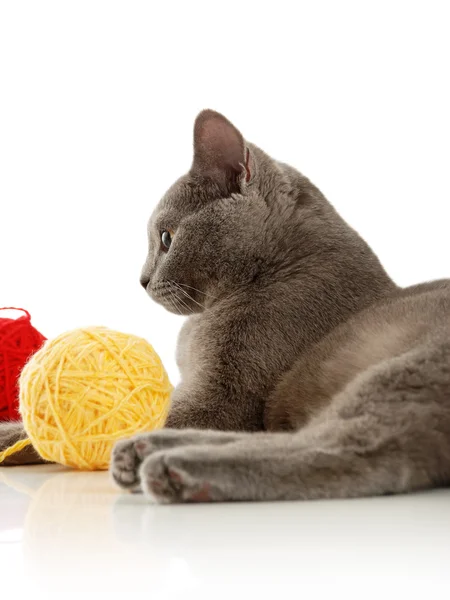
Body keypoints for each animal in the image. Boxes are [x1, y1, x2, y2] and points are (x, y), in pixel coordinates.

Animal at [0, 110, 450, 504]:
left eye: (166, 238)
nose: (142, 279)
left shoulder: (224, 396)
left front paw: (10, 434)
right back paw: (143, 450)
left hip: (406, 370)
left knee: (346, 450)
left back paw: (174, 469)